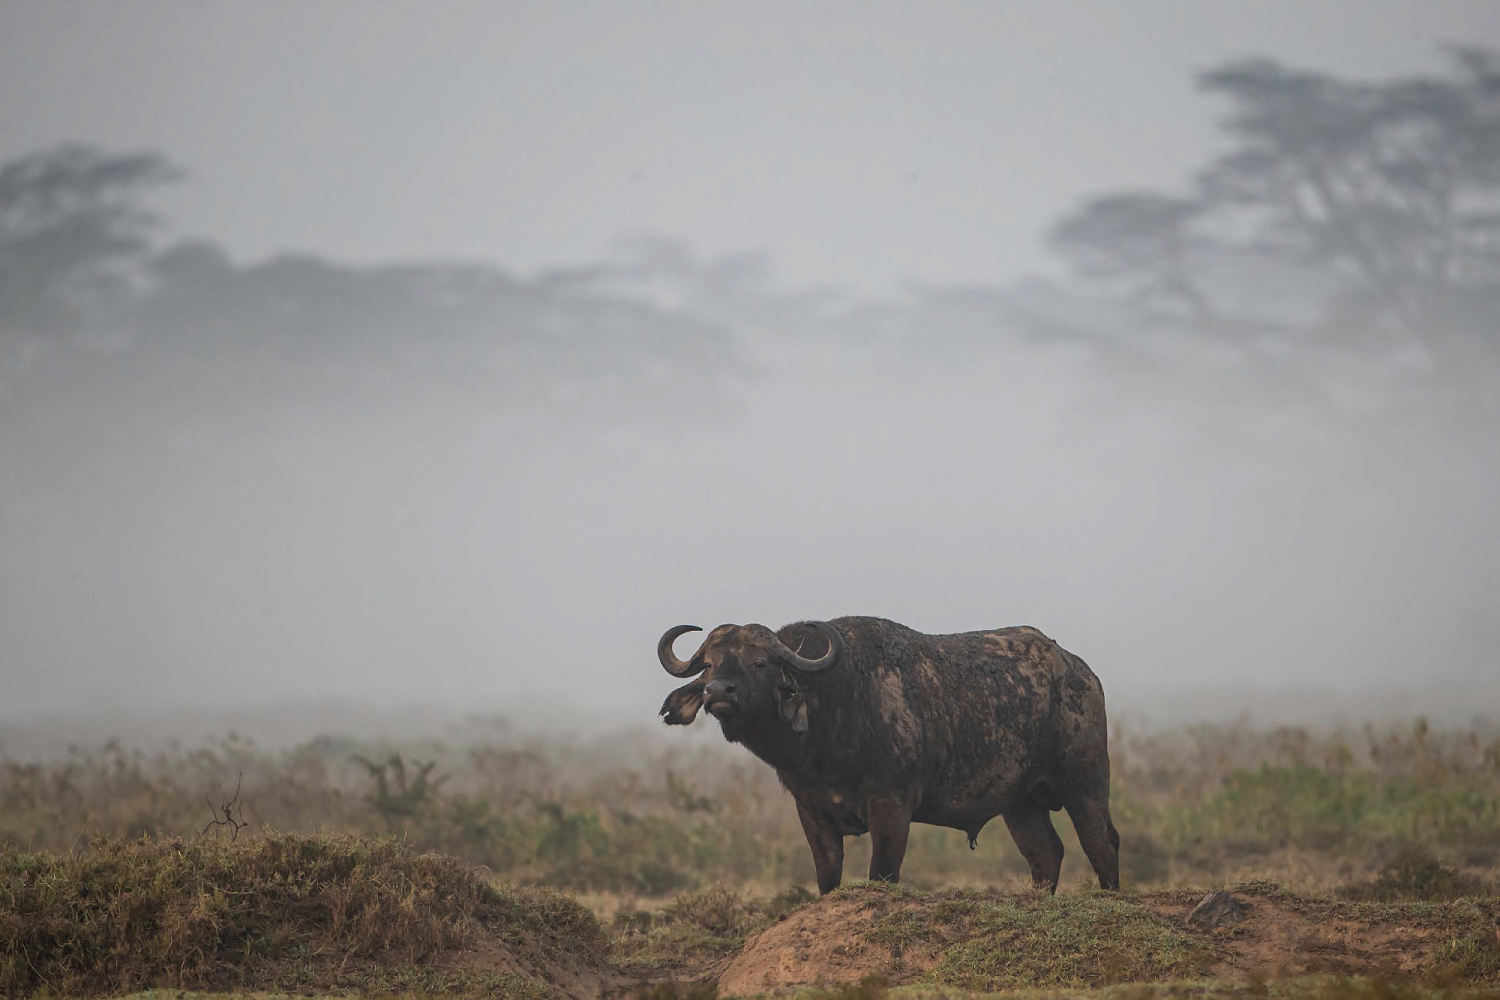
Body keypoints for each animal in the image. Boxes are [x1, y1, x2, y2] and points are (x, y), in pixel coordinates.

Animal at [657, 614, 1116, 893]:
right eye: (709, 664)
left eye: (759, 662)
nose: (718, 692)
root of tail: (1080, 671)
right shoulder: (811, 812)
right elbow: (828, 877)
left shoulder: (892, 807)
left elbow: (882, 873)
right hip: (1020, 802)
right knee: (1046, 853)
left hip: (1086, 782)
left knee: (1102, 842)